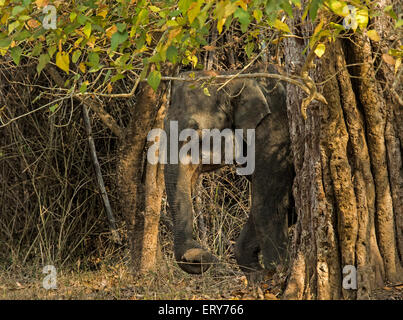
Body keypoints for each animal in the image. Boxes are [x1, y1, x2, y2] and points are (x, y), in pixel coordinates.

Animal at [163, 64, 296, 276]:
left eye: (195, 132)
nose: (199, 257)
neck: (233, 78)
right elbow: (289, 205)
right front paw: (258, 275)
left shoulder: (275, 131)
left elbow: (268, 204)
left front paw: (276, 273)